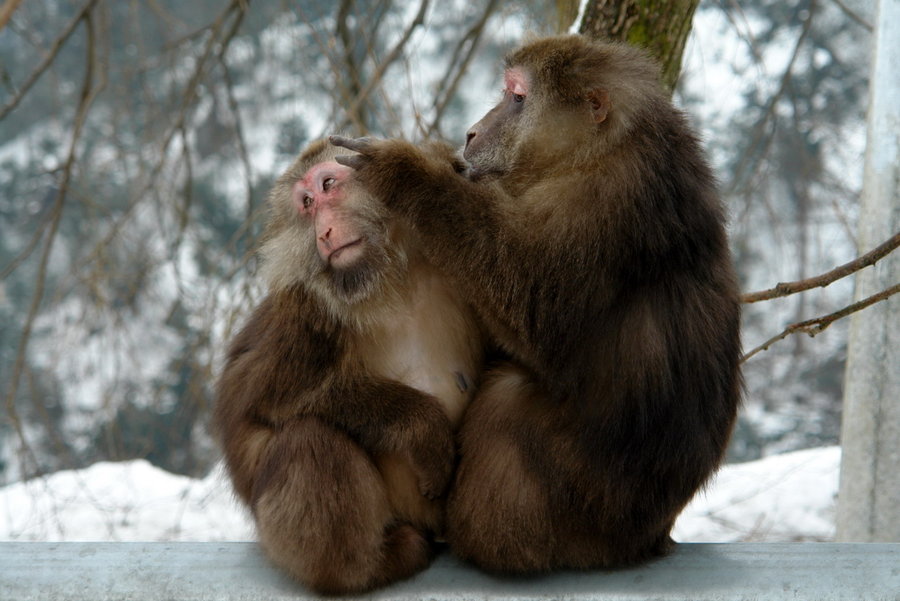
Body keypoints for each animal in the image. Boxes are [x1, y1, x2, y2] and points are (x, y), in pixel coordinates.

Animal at [213, 138, 486, 592]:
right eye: (306, 203)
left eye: (328, 185)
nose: (323, 231)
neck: (390, 283)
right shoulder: (304, 314)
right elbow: (259, 398)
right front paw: (423, 426)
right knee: (308, 439)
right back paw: (371, 567)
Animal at [330, 35, 740, 576]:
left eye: (518, 97)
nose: (471, 132)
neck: (599, 150)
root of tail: (646, 539)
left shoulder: (598, 207)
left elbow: (533, 308)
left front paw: (408, 174)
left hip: (582, 513)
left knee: (506, 400)